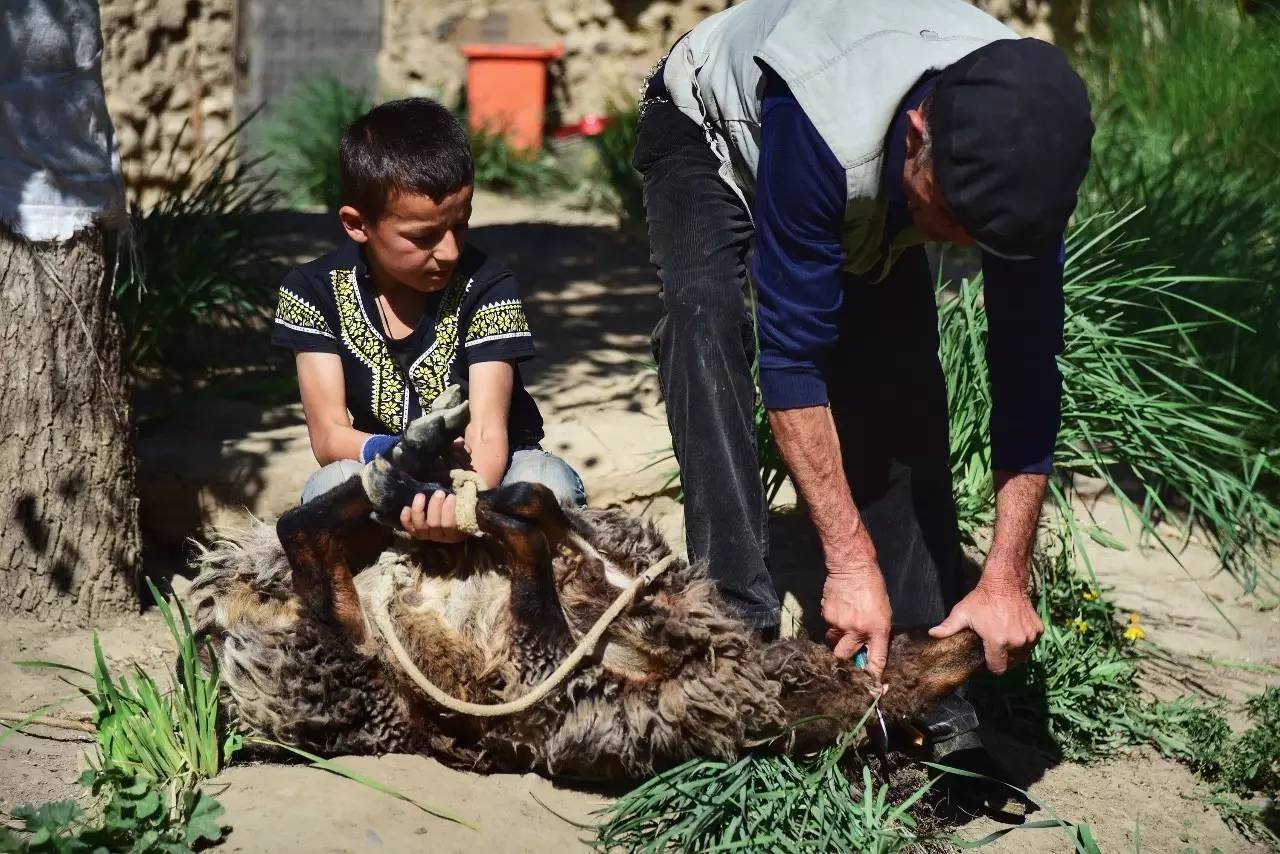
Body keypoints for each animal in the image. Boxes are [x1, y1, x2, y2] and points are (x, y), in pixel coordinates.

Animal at [186, 386, 977, 783]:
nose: (971, 637)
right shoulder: (617, 576)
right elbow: (541, 511)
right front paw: (467, 495)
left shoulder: (544, 681)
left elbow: (532, 538)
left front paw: (472, 504)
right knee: (309, 524)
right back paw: (414, 456)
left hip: (343, 665)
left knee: (309, 547)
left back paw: (409, 466)